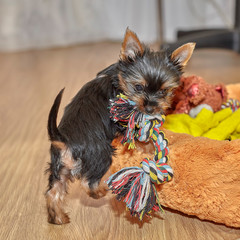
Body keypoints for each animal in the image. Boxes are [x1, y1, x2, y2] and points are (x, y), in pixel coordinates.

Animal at [45, 28, 195, 225]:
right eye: (138, 87)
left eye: (163, 91)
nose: (150, 107)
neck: (119, 77)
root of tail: (64, 140)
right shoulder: (125, 121)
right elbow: (139, 138)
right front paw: (148, 148)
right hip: (100, 155)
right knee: (88, 182)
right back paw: (101, 190)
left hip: (60, 167)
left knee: (53, 191)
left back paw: (58, 218)